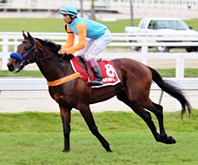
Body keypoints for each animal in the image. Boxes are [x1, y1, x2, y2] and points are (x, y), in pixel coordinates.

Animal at [6, 31, 191, 152]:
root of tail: (144, 66)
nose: (9, 65)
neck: (62, 71)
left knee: (158, 109)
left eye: (26, 48)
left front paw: (107, 146)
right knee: (146, 116)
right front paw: (66, 150)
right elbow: (66, 128)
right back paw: (161, 138)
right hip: (128, 99)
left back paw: (166, 137)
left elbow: (93, 127)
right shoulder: (63, 106)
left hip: (138, 96)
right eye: (18, 46)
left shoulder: (83, 104)